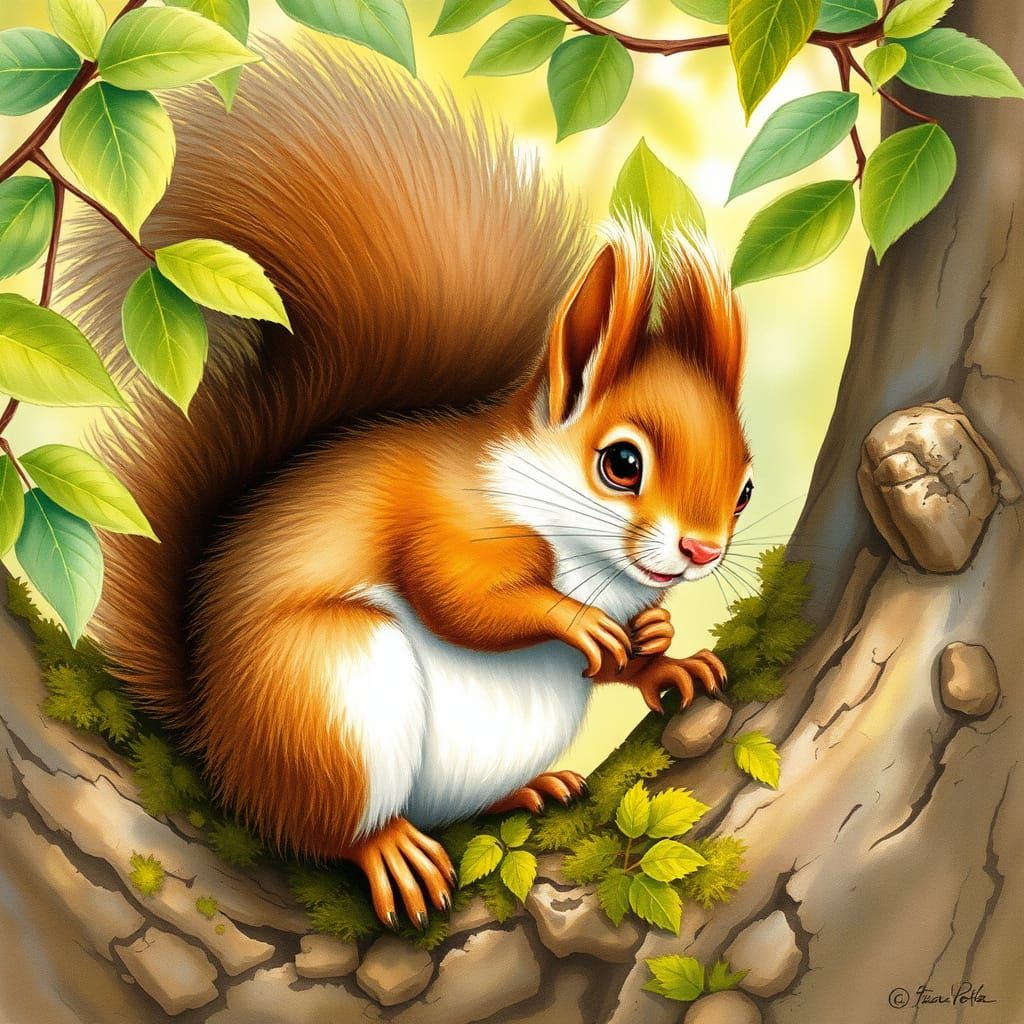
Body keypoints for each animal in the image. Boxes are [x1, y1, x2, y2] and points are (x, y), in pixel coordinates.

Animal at [64, 39, 753, 931]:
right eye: (621, 465)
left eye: (745, 486)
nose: (702, 550)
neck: (589, 556)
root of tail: (219, 753)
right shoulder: (446, 519)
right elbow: (458, 598)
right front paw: (576, 623)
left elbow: (626, 657)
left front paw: (664, 655)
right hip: (330, 697)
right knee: (323, 829)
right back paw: (387, 849)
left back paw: (529, 790)